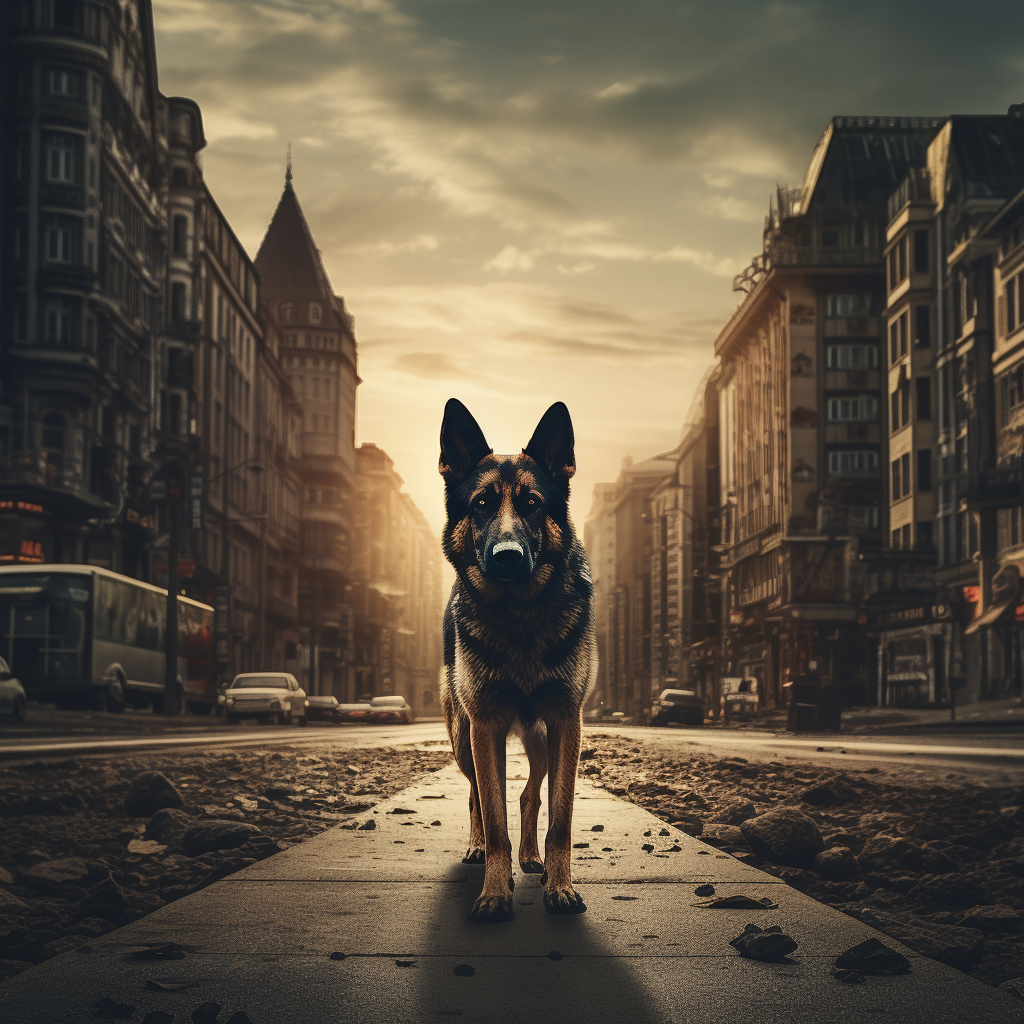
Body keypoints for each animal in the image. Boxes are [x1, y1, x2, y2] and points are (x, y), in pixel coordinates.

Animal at [438, 403, 598, 925]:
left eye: (531, 503)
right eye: (481, 504)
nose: (507, 557)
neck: (519, 614)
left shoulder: (566, 721)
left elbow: (560, 818)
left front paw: (560, 887)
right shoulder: (485, 725)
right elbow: (494, 815)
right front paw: (494, 892)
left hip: (540, 739)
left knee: (529, 793)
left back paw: (532, 859)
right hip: (463, 739)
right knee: (476, 796)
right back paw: (478, 847)